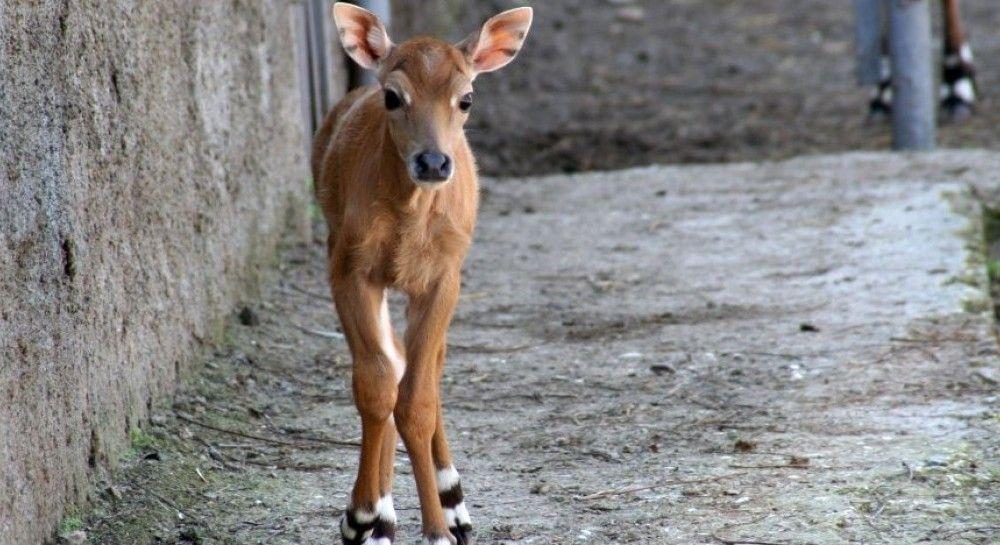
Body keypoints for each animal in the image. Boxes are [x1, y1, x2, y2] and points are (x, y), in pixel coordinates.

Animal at [310, 4, 532, 544]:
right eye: (393, 96)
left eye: (466, 97)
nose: (433, 161)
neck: (407, 220)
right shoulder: (348, 265)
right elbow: (375, 385)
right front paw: (361, 515)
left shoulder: (444, 277)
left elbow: (417, 399)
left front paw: (437, 529)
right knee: (394, 363)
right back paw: (385, 517)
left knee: (429, 368)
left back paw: (454, 501)